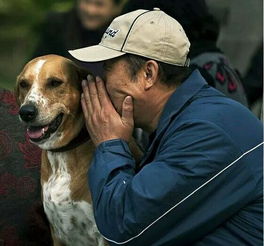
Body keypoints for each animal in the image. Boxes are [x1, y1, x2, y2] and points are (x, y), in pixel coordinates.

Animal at [14, 55, 142, 246]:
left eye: (54, 82)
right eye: (23, 84)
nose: (26, 112)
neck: (62, 156)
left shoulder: (102, 236)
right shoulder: (57, 234)